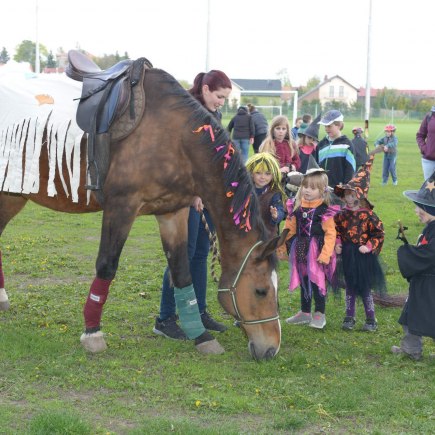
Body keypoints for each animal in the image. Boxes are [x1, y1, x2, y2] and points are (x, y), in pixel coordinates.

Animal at [0, 59, 288, 362]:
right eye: (261, 291)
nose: (272, 349)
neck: (173, 136)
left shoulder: (173, 212)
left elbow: (181, 271)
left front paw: (201, 336)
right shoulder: (121, 207)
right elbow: (106, 265)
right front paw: (92, 332)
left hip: (14, 193)